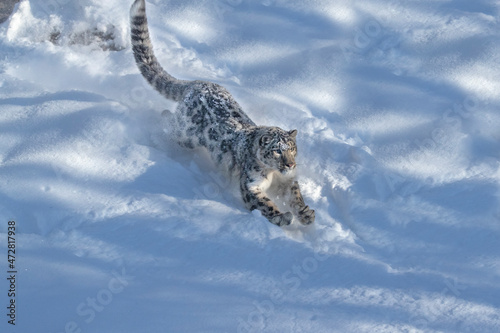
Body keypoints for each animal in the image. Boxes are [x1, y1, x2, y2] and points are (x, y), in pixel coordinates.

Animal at [131, 0, 314, 226]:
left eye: (292, 149)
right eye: (277, 150)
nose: (289, 164)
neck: (273, 173)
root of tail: (198, 83)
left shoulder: (287, 180)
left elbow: (295, 193)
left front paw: (305, 213)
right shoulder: (250, 184)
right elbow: (264, 203)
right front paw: (282, 217)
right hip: (185, 134)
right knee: (169, 124)